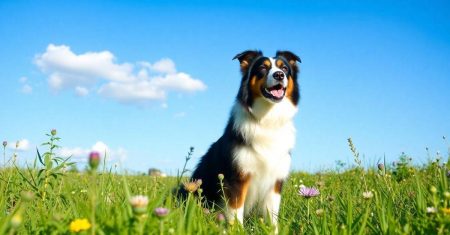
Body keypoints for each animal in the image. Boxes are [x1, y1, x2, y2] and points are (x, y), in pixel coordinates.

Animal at [188, 49, 300, 228]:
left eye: (284, 68)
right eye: (262, 68)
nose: (279, 75)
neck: (267, 119)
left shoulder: (275, 181)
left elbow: (272, 218)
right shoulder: (237, 178)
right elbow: (236, 212)